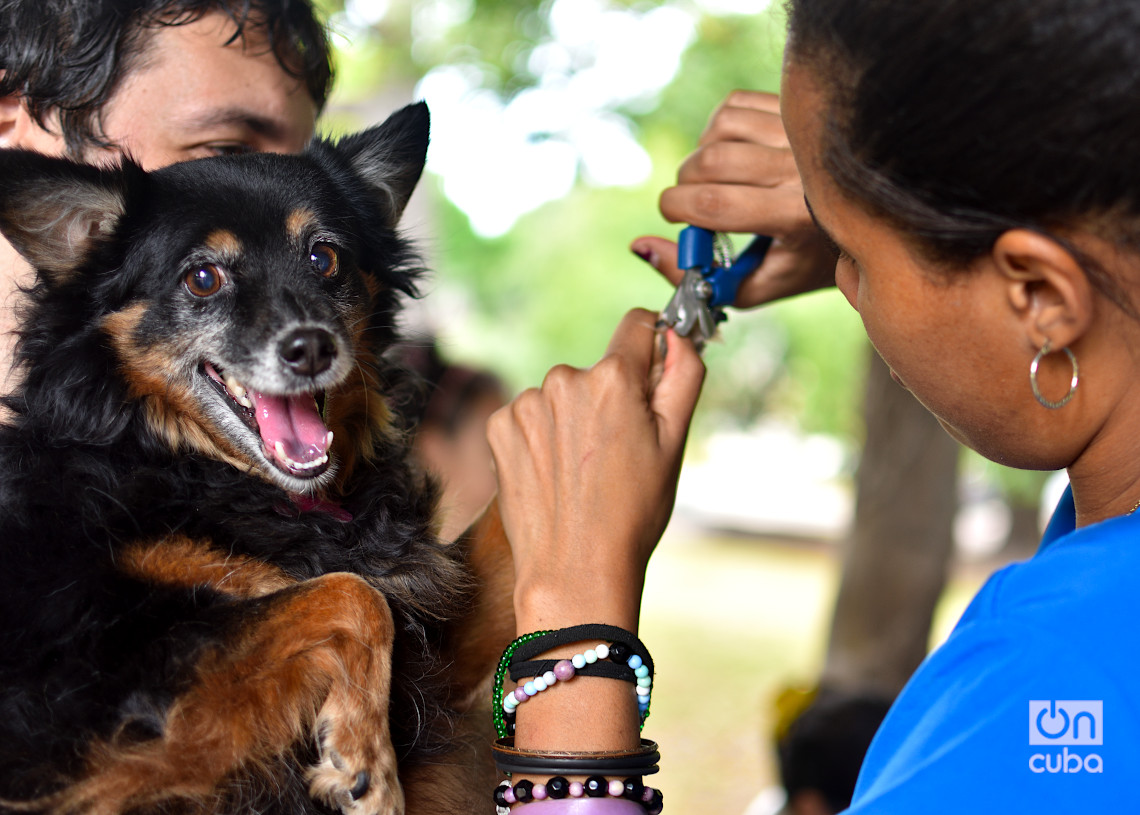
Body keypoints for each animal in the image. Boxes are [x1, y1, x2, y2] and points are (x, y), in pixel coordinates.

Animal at [0, 105, 513, 811]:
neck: (182, 466)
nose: (312, 347)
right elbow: (351, 594)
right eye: (202, 278)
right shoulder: (103, 681)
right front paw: (366, 758)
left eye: (325, 258)